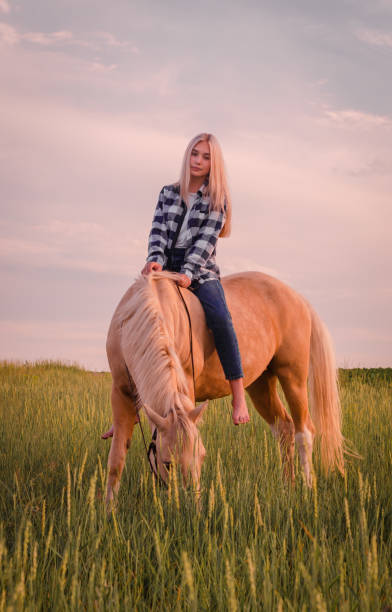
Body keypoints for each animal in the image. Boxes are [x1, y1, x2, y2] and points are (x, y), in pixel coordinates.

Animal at [105, 272, 344, 506]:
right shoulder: (121, 393)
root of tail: (298, 298)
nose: (190, 506)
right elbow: (116, 458)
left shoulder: (186, 387)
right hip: (260, 384)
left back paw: (307, 489)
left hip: (293, 377)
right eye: (167, 463)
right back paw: (288, 488)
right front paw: (109, 509)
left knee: (305, 432)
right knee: (284, 428)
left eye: (202, 456)